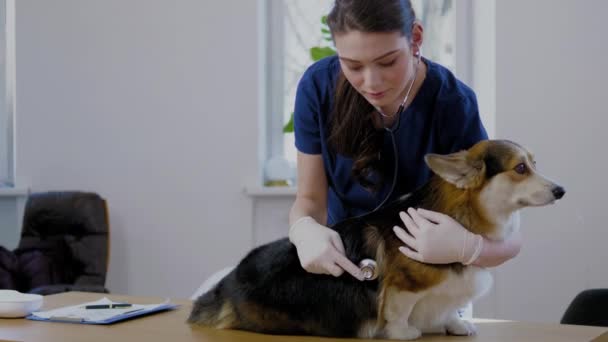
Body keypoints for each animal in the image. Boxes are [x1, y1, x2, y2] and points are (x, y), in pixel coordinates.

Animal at [186, 139, 564, 340]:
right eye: (520, 169)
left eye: (534, 163)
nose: (561, 190)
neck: (464, 217)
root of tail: (225, 285)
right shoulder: (404, 287)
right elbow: (398, 310)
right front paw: (404, 332)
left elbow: (448, 310)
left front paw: (456, 324)